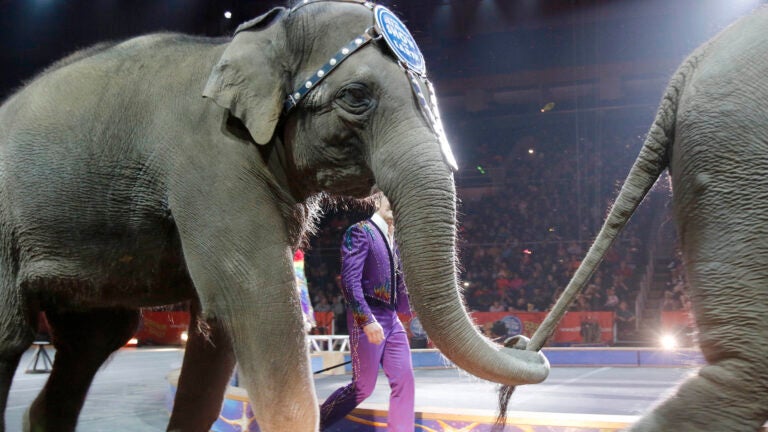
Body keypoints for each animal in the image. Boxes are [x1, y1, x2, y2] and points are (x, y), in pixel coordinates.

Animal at [0, 0, 548, 432]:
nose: (520, 337)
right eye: (356, 96)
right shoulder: (213, 160)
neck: (255, 37)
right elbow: (258, 303)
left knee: (94, 338)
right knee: (15, 338)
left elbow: (219, 333)